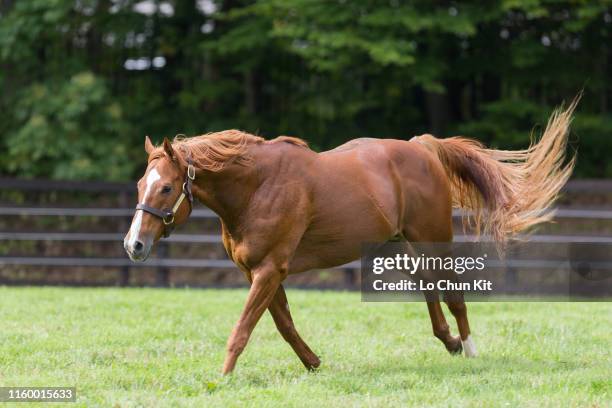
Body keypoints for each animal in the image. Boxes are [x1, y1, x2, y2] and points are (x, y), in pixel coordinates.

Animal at [125, 101, 580, 372]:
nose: (134, 246)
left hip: (433, 238)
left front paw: (223, 377)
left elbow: (244, 328)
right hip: (402, 243)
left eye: (166, 188)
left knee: (453, 292)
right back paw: (449, 342)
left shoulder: (270, 269)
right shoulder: (258, 272)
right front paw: (313, 363)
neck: (257, 186)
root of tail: (422, 147)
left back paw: (467, 349)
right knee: (428, 286)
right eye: (140, 185)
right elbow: (283, 324)